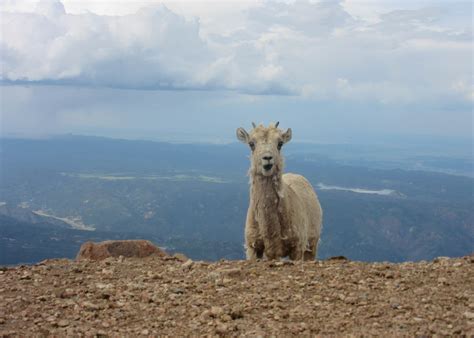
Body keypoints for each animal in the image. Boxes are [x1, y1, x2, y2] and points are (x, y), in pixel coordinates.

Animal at [236, 123, 322, 260]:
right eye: (251, 144)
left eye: (280, 143)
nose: (267, 158)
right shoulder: (253, 247)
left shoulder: (297, 247)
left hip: (312, 244)